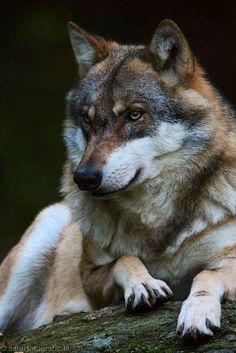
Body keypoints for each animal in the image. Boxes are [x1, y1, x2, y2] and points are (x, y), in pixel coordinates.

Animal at [0, 18, 236, 338]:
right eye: (87, 119)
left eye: (134, 115)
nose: (84, 177)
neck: (155, 221)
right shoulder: (90, 278)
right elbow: (123, 259)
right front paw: (143, 284)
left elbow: (205, 275)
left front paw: (197, 313)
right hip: (45, 228)